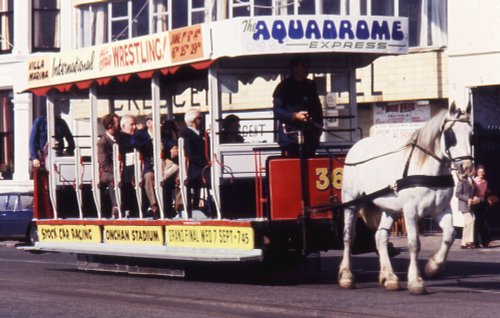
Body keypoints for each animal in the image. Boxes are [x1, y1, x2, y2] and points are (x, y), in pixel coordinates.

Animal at [340, 103, 472, 294]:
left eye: (472, 135)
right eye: (450, 135)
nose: (466, 168)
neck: (428, 169)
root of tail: (357, 145)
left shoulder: (441, 209)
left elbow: (449, 235)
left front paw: (433, 267)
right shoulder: (411, 211)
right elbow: (414, 243)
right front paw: (416, 281)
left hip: (390, 209)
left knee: (380, 237)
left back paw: (390, 278)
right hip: (352, 202)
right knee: (349, 236)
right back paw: (346, 276)